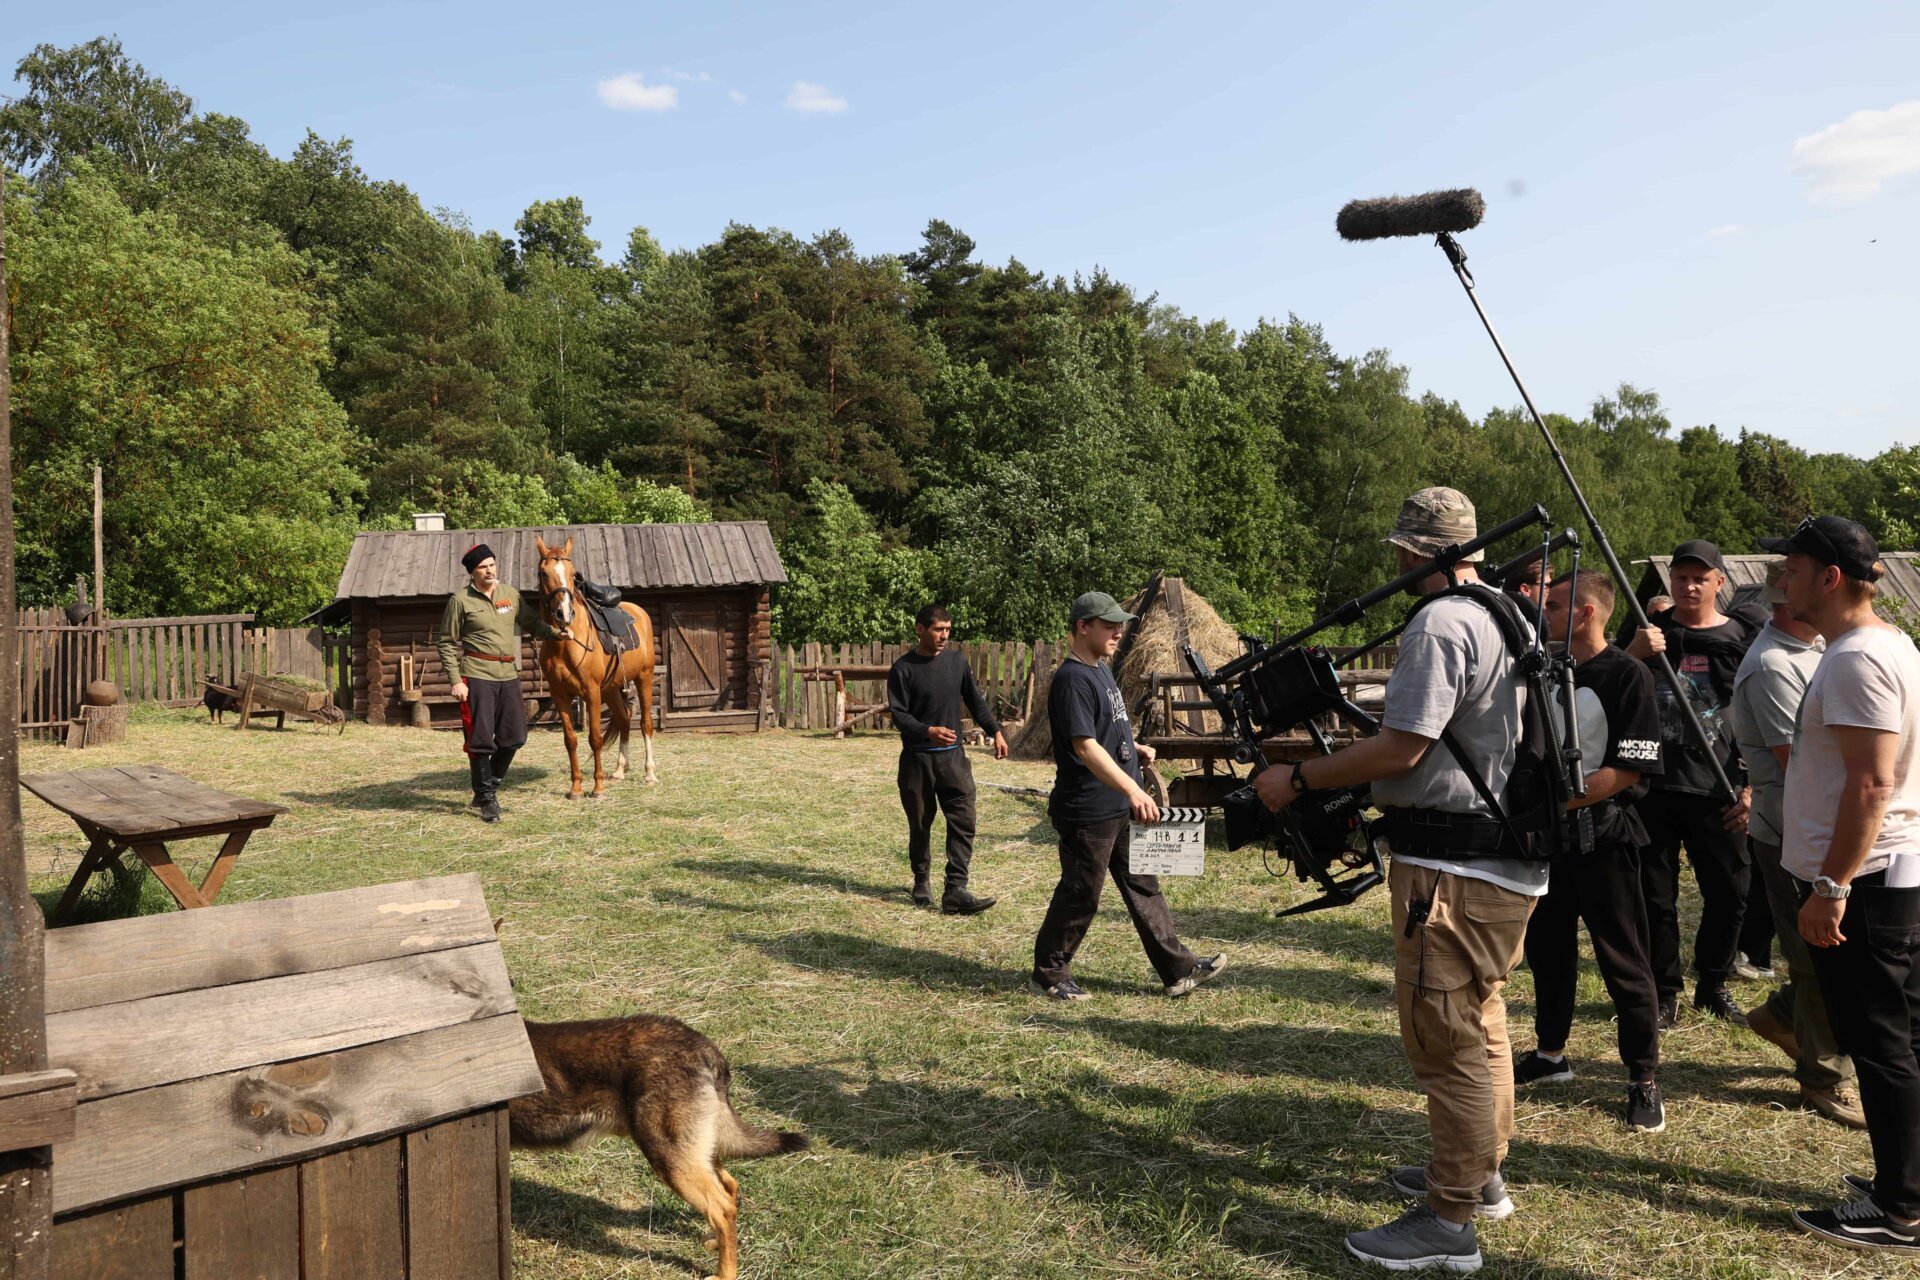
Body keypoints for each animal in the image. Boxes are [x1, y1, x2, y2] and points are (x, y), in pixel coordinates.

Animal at [509, 1015, 809, 1280]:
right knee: (729, 1188)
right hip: (697, 1151)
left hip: (670, 1159)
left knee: (722, 1208)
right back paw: (716, 1242)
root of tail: (703, 1046)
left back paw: (725, 1274)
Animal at [533, 535, 659, 795]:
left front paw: (598, 787)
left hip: (644, 678)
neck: (566, 642)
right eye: (543, 573)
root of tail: (638, 612)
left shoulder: (591, 692)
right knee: (623, 718)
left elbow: (595, 738)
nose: (564, 614)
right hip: (611, 688)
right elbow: (570, 740)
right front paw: (576, 789)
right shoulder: (560, 694)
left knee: (645, 723)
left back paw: (650, 773)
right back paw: (620, 770)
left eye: (573, 574)